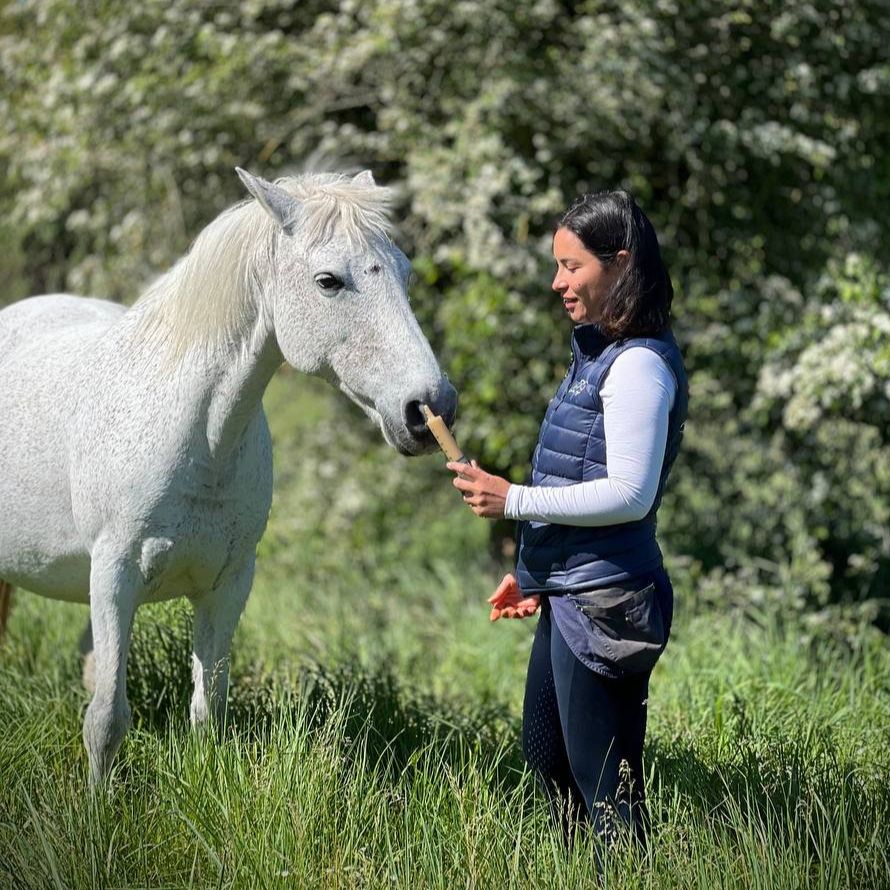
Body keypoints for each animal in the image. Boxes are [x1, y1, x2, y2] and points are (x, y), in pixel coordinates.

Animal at [0, 168, 457, 784]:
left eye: (406, 273)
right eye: (329, 281)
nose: (429, 409)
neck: (195, 437)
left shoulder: (229, 584)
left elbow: (207, 708)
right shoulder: (114, 576)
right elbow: (105, 720)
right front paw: (98, 805)